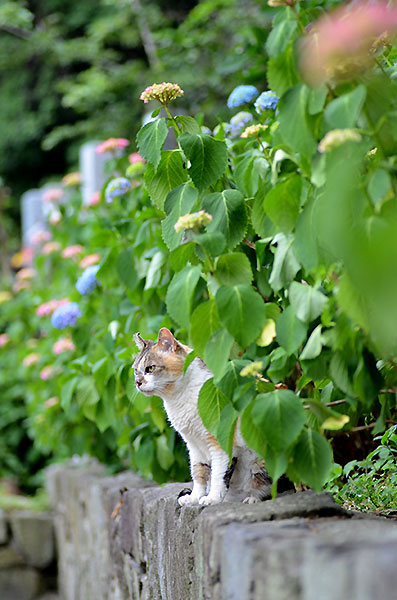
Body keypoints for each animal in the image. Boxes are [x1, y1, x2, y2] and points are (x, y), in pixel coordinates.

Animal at [131, 328, 292, 506]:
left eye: (150, 368)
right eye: (135, 370)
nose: (137, 382)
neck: (178, 398)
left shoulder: (220, 442)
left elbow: (217, 474)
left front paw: (212, 498)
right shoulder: (193, 445)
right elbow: (199, 472)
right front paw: (194, 497)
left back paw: (252, 498)